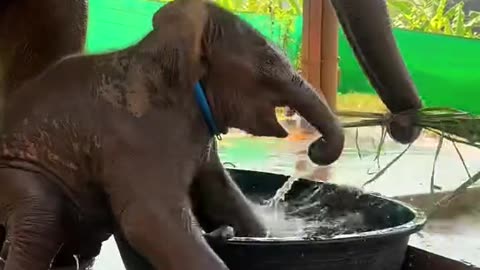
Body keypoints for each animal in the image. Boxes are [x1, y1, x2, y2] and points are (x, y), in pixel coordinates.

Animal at [0, 0, 344, 270]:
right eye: (270, 61)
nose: (315, 149)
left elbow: (225, 198)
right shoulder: (137, 135)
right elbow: (148, 220)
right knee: (39, 220)